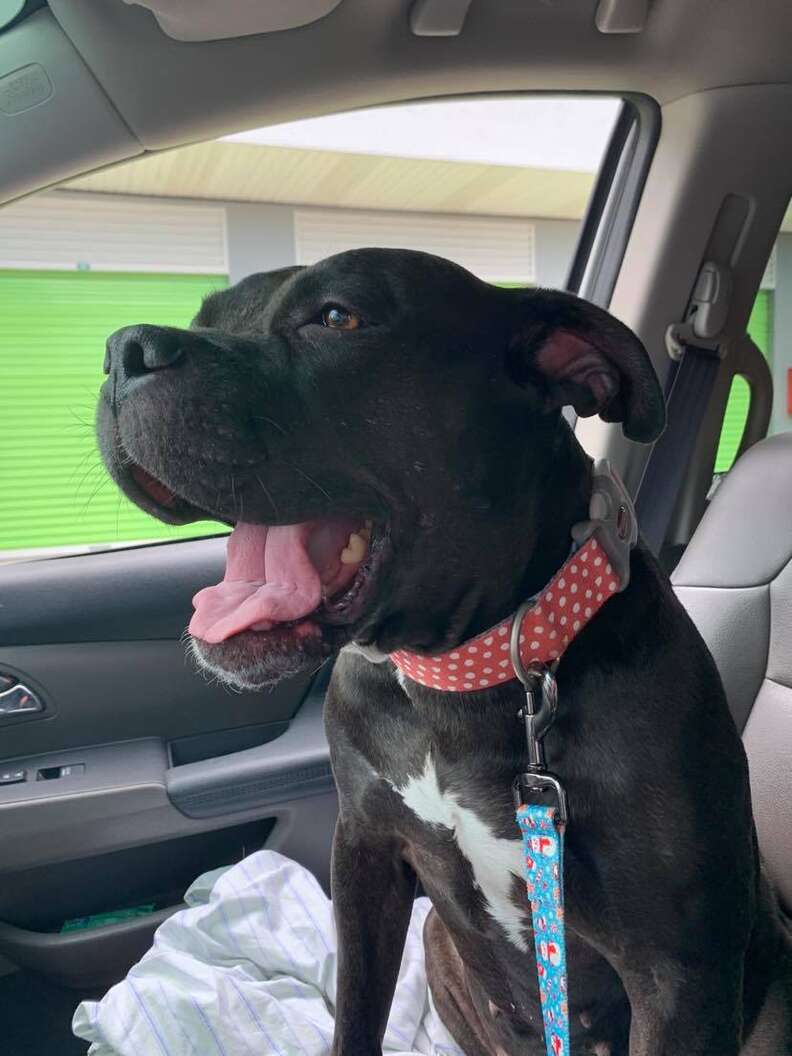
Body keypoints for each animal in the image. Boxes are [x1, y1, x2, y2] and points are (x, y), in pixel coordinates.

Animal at [100, 251, 792, 1051]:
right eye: (206, 317)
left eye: (337, 317)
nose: (122, 350)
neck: (460, 674)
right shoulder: (364, 849)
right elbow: (356, 1013)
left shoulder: (676, 973)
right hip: (438, 948)